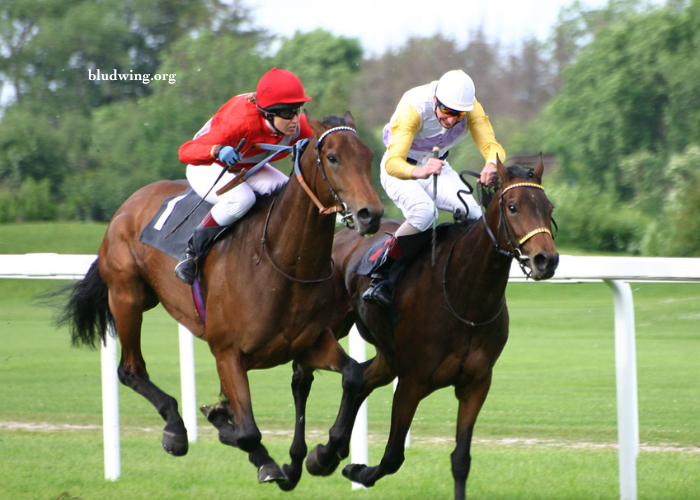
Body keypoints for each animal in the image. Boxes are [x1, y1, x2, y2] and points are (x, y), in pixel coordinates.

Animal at [53, 112, 382, 488]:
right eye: (333, 157)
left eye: (369, 156)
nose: (371, 214)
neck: (282, 265)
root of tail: (128, 205)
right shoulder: (227, 353)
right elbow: (248, 431)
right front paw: (265, 460)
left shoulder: (309, 343)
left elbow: (353, 375)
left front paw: (325, 453)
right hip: (127, 296)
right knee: (130, 369)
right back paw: (175, 429)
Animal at [304, 157, 560, 500]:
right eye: (513, 206)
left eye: (549, 207)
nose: (546, 260)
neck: (465, 297)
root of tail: (340, 236)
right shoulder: (412, 382)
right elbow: (393, 456)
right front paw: (358, 471)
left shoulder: (476, 383)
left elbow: (461, 460)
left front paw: (344, 462)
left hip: (388, 356)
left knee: (357, 378)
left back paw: (327, 452)